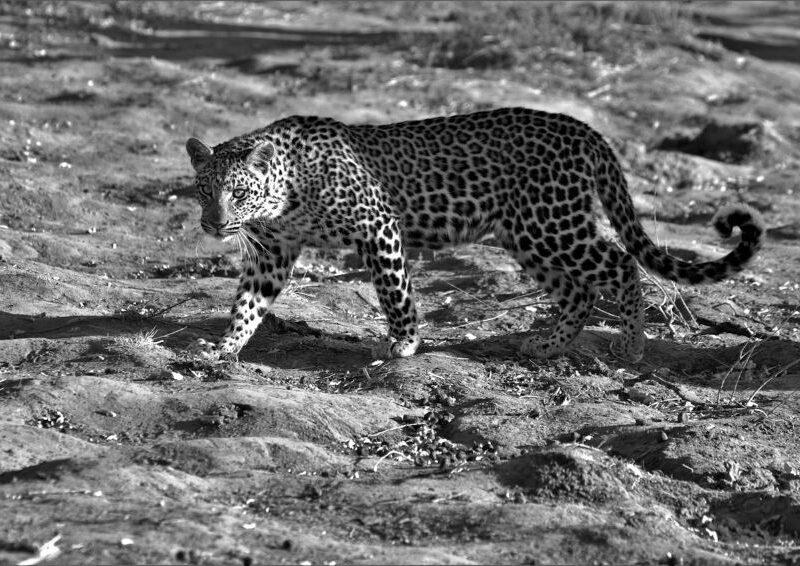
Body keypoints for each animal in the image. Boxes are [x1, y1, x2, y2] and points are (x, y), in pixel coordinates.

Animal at [185, 107, 764, 363]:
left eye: (238, 192)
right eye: (203, 189)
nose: (213, 223)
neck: (287, 190)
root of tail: (585, 130)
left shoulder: (379, 224)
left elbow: (395, 292)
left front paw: (405, 343)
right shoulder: (272, 251)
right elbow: (248, 303)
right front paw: (224, 346)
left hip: (551, 223)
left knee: (619, 263)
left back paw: (632, 346)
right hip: (528, 235)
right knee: (578, 289)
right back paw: (547, 344)